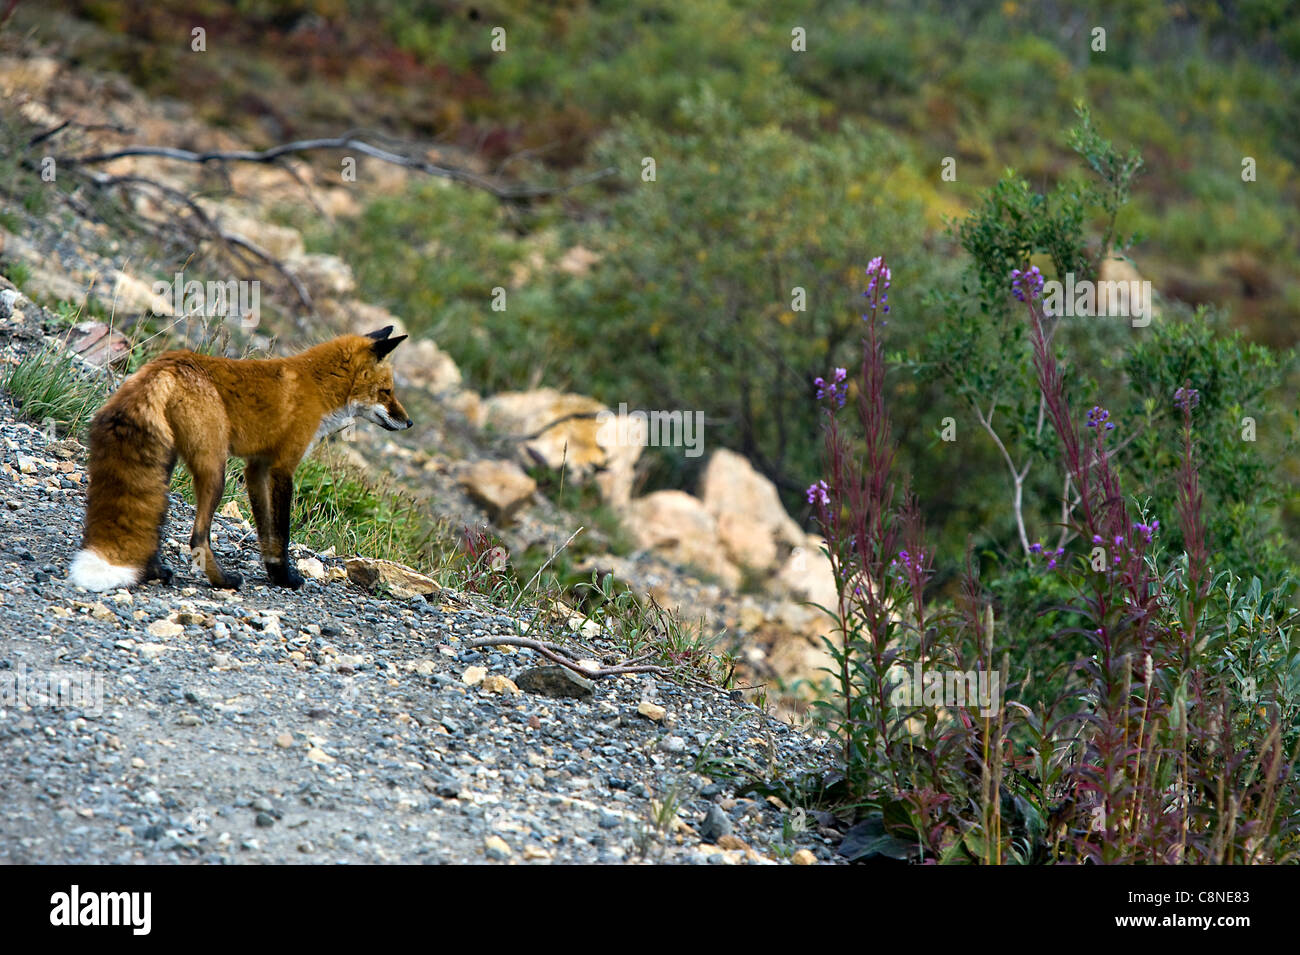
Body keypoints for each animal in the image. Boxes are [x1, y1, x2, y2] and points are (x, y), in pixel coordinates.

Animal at [69, 328, 410, 589]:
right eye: (386, 391)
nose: (408, 423)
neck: (316, 386)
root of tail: (167, 363)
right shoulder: (283, 467)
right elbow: (282, 531)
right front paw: (286, 578)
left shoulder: (256, 467)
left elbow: (265, 530)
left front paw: (274, 572)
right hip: (214, 470)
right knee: (197, 537)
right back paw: (222, 581)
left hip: (165, 463)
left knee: (153, 519)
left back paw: (155, 571)